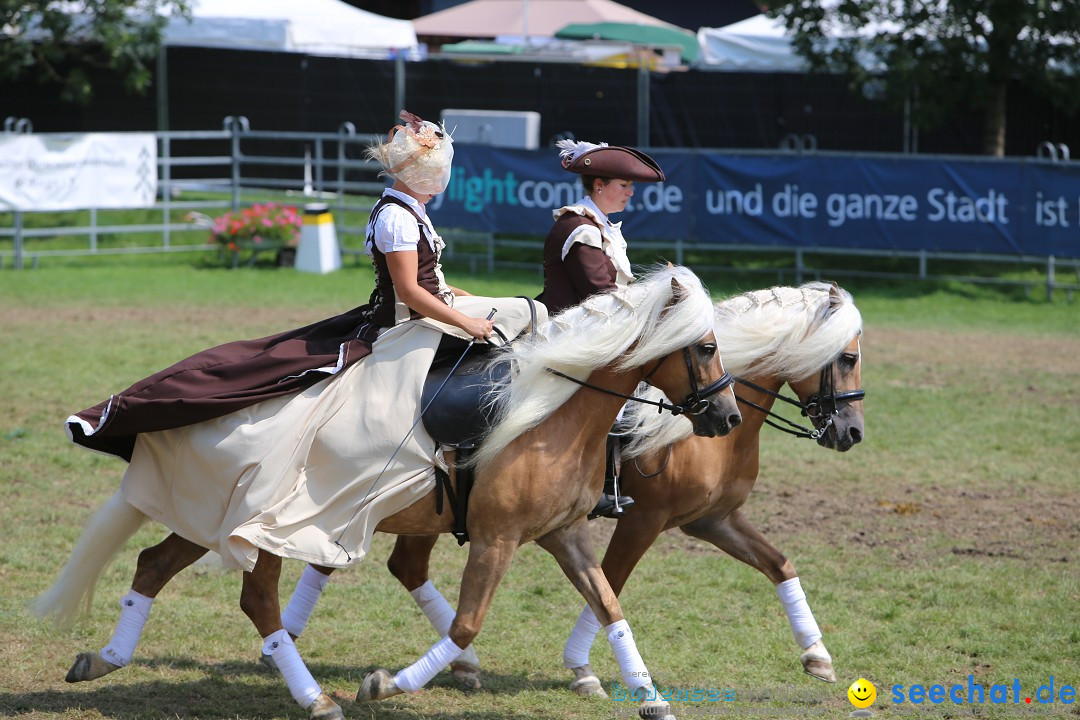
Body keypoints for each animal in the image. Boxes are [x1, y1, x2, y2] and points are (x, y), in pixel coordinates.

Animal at [33, 264, 743, 720]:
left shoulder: (562, 533)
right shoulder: (497, 538)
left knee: (153, 564)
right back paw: (315, 699)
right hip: (259, 526)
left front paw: (650, 697)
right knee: (256, 597)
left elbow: (610, 605)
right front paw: (387, 684)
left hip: (206, 515)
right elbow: (465, 622)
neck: (548, 414)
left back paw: (103, 660)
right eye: (706, 346)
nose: (728, 417)